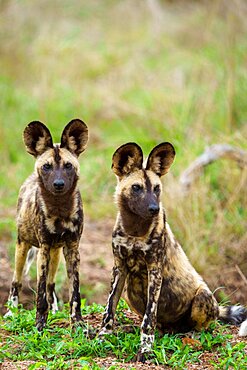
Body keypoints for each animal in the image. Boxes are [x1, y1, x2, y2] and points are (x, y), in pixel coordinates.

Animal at [5, 119, 89, 332]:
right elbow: (40, 294)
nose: (58, 184)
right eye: (47, 167)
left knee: (51, 284)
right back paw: (11, 312)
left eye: (68, 166)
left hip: (56, 253)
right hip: (23, 248)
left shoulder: (72, 249)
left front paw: (77, 323)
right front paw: (39, 325)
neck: (59, 209)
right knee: (16, 281)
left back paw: (55, 311)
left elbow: (74, 294)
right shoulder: (43, 249)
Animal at [100, 142, 247, 362]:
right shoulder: (119, 268)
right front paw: (101, 337)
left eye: (157, 188)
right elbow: (109, 309)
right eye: (136, 188)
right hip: (129, 292)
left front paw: (145, 349)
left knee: (203, 326)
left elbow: (148, 320)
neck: (135, 231)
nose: (154, 208)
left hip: (203, 296)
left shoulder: (155, 272)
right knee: (159, 324)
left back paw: (191, 334)